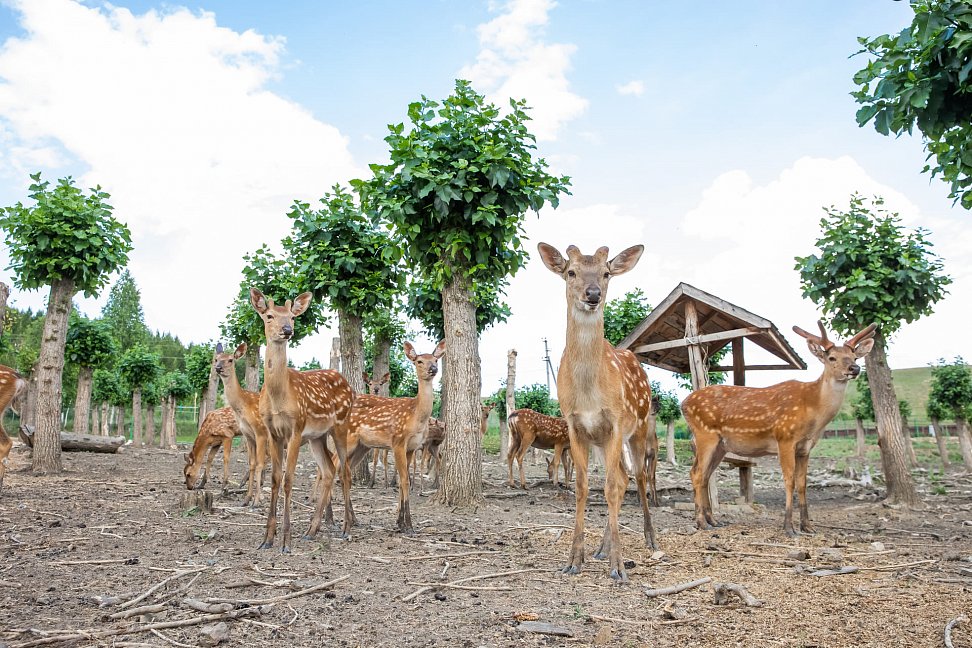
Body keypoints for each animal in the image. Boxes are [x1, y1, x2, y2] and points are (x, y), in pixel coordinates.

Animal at [213, 342, 272, 506]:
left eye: (230, 359)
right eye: (216, 359)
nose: (218, 368)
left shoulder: (260, 432)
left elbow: (259, 464)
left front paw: (256, 501)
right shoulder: (248, 435)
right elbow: (251, 463)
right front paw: (246, 499)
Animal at [250, 288, 355, 552]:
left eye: (292, 316)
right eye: (269, 316)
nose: (287, 329)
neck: (279, 397)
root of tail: (349, 385)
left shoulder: (295, 429)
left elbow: (289, 480)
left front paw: (286, 542)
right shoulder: (272, 432)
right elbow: (275, 479)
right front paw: (267, 539)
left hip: (341, 424)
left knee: (345, 471)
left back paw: (346, 529)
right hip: (317, 436)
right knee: (328, 470)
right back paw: (311, 531)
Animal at [345, 340, 445, 534]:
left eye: (436, 359)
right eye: (419, 361)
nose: (433, 368)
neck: (416, 416)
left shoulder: (412, 447)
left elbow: (401, 480)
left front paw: (399, 521)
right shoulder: (398, 441)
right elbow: (404, 480)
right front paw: (408, 525)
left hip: (362, 446)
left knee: (341, 471)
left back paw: (350, 519)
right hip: (348, 440)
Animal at [538, 242, 657, 581]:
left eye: (606, 273)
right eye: (571, 271)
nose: (593, 294)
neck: (590, 394)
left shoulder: (616, 422)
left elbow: (610, 488)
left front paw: (618, 566)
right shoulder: (575, 426)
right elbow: (582, 487)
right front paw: (574, 560)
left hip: (640, 426)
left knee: (637, 476)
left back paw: (650, 539)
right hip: (603, 443)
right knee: (622, 478)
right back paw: (601, 549)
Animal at [681, 321, 876, 537]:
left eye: (855, 356)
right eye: (832, 357)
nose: (854, 368)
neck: (813, 412)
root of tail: (683, 404)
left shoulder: (805, 447)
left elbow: (803, 483)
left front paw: (807, 526)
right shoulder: (785, 437)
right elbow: (789, 480)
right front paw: (789, 527)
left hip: (721, 446)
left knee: (704, 475)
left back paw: (713, 520)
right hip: (705, 434)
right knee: (697, 473)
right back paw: (701, 522)